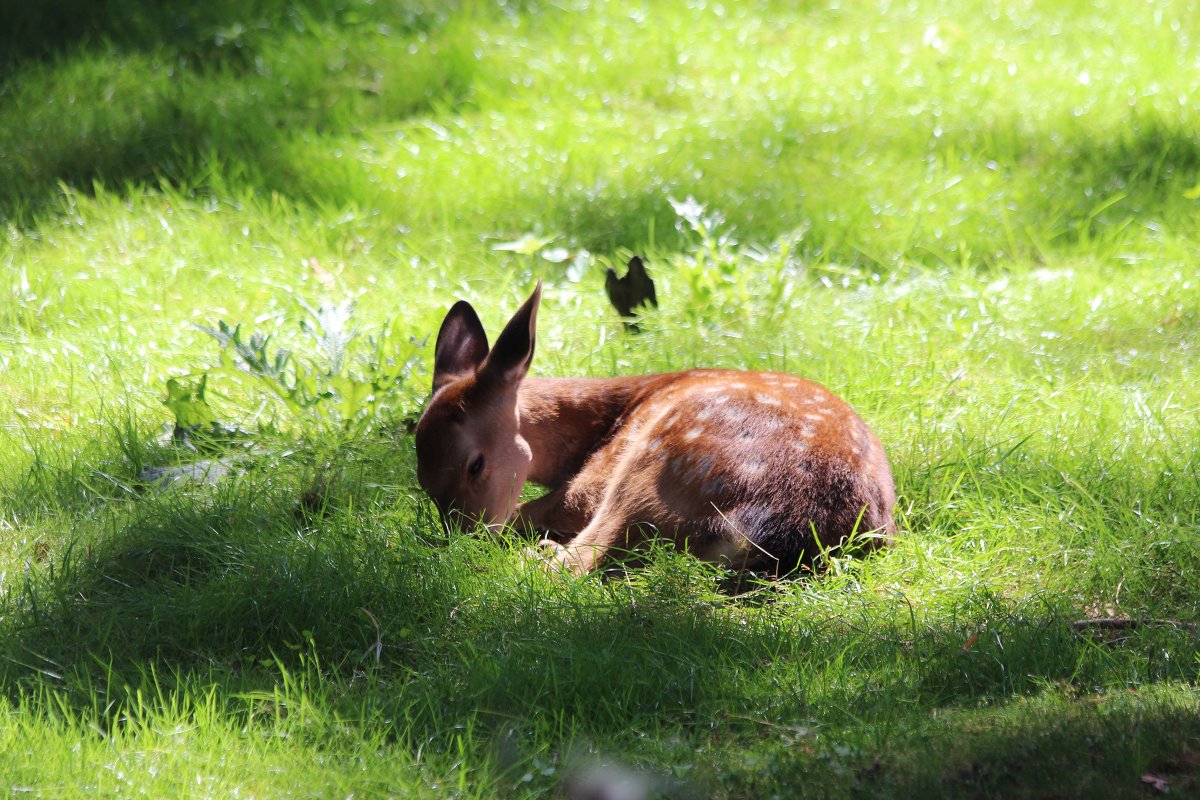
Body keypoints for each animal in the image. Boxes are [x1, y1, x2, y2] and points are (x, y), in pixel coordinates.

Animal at [412, 281, 892, 575]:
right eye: (423, 480)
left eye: (475, 464)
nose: (463, 539)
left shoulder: (592, 480)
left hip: (654, 467)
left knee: (579, 562)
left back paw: (541, 553)